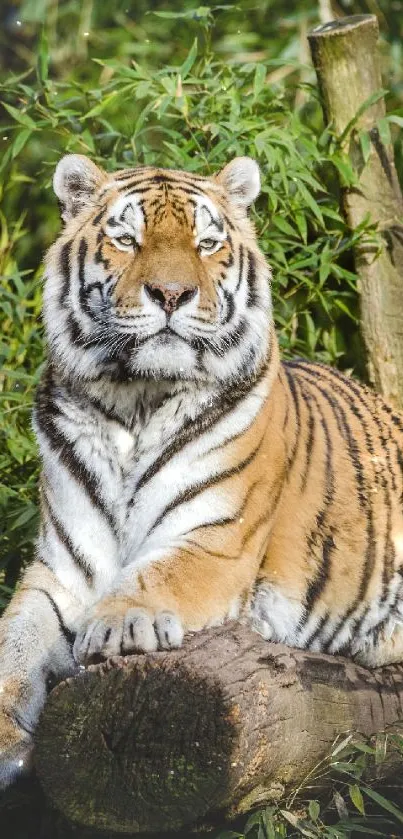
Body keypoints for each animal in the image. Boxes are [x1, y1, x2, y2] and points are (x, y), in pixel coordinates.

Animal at [0, 153, 403, 796]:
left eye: (207, 243)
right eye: (127, 239)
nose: (172, 293)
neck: (134, 401)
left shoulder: (216, 542)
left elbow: (154, 574)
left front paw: (116, 625)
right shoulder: (61, 570)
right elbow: (13, 645)